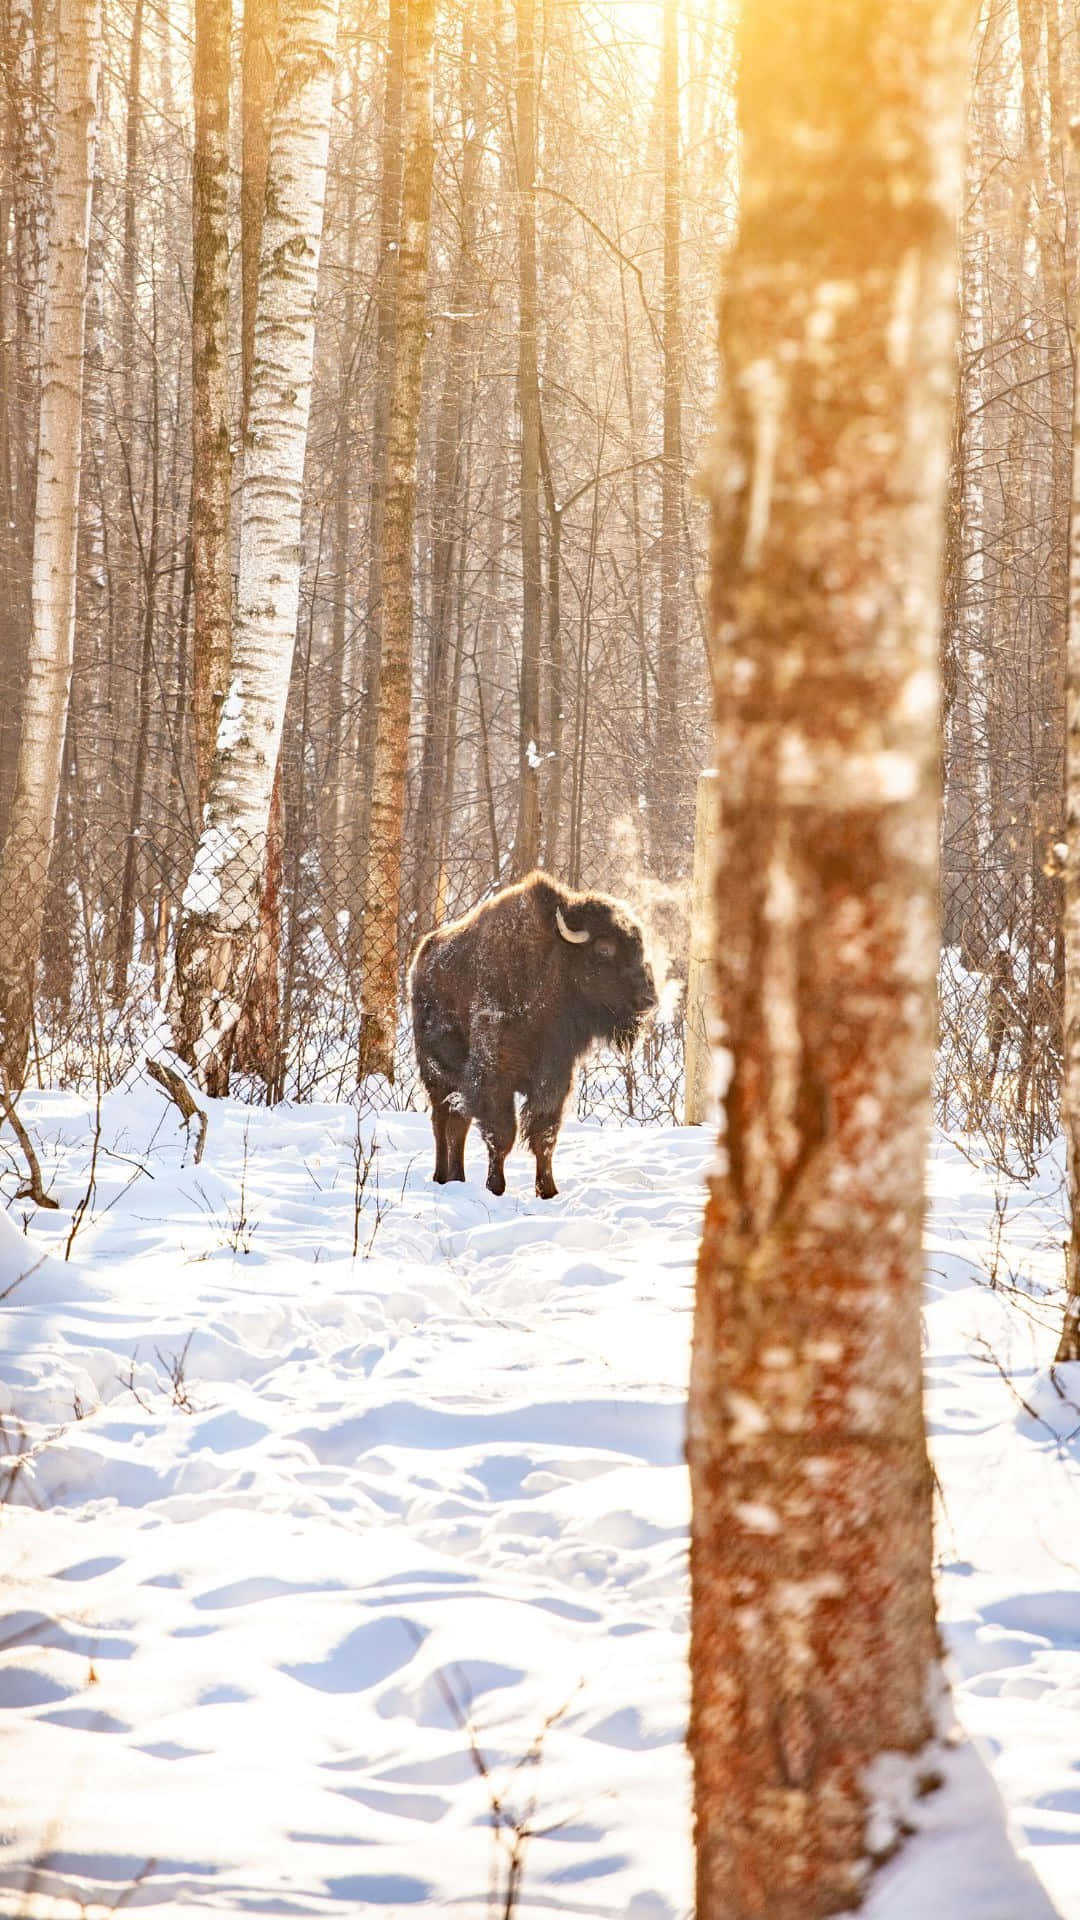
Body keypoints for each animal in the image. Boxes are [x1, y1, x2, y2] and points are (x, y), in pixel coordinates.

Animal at [405, 875, 653, 1198]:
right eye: (604, 949)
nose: (649, 999)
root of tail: (420, 958)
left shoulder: (553, 1080)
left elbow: (544, 1135)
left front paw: (548, 1191)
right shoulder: (495, 1080)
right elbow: (502, 1135)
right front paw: (495, 1187)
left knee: (458, 1125)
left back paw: (457, 1178)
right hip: (435, 1076)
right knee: (441, 1123)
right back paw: (441, 1177)